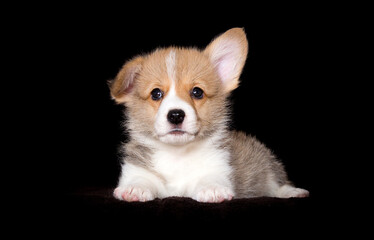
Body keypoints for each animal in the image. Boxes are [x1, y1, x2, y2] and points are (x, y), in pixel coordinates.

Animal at [109, 27, 308, 202]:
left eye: (197, 92)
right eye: (156, 93)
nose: (176, 115)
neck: (177, 154)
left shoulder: (220, 167)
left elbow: (210, 178)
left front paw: (212, 189)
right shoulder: (135, 169)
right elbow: (141, 178)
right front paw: (135, 188)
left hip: (266, 164)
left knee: (277, 183)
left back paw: (293, 192)